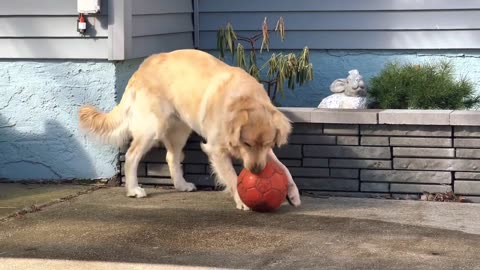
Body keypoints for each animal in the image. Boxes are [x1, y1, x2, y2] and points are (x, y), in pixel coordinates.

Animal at [80, 49, 302, 210]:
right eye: (246, 143)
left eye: (268, 144)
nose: (256, 171)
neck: (244, 99)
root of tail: (141, 67)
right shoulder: (215, 149)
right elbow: (232, 176)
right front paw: (242, 199)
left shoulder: (264, 153)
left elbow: (284, 167)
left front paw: (293, 193)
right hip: (152, 126)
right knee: (132, 155)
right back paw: (134, 189)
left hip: (180, 130)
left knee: (171, 157)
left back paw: (181, 185)